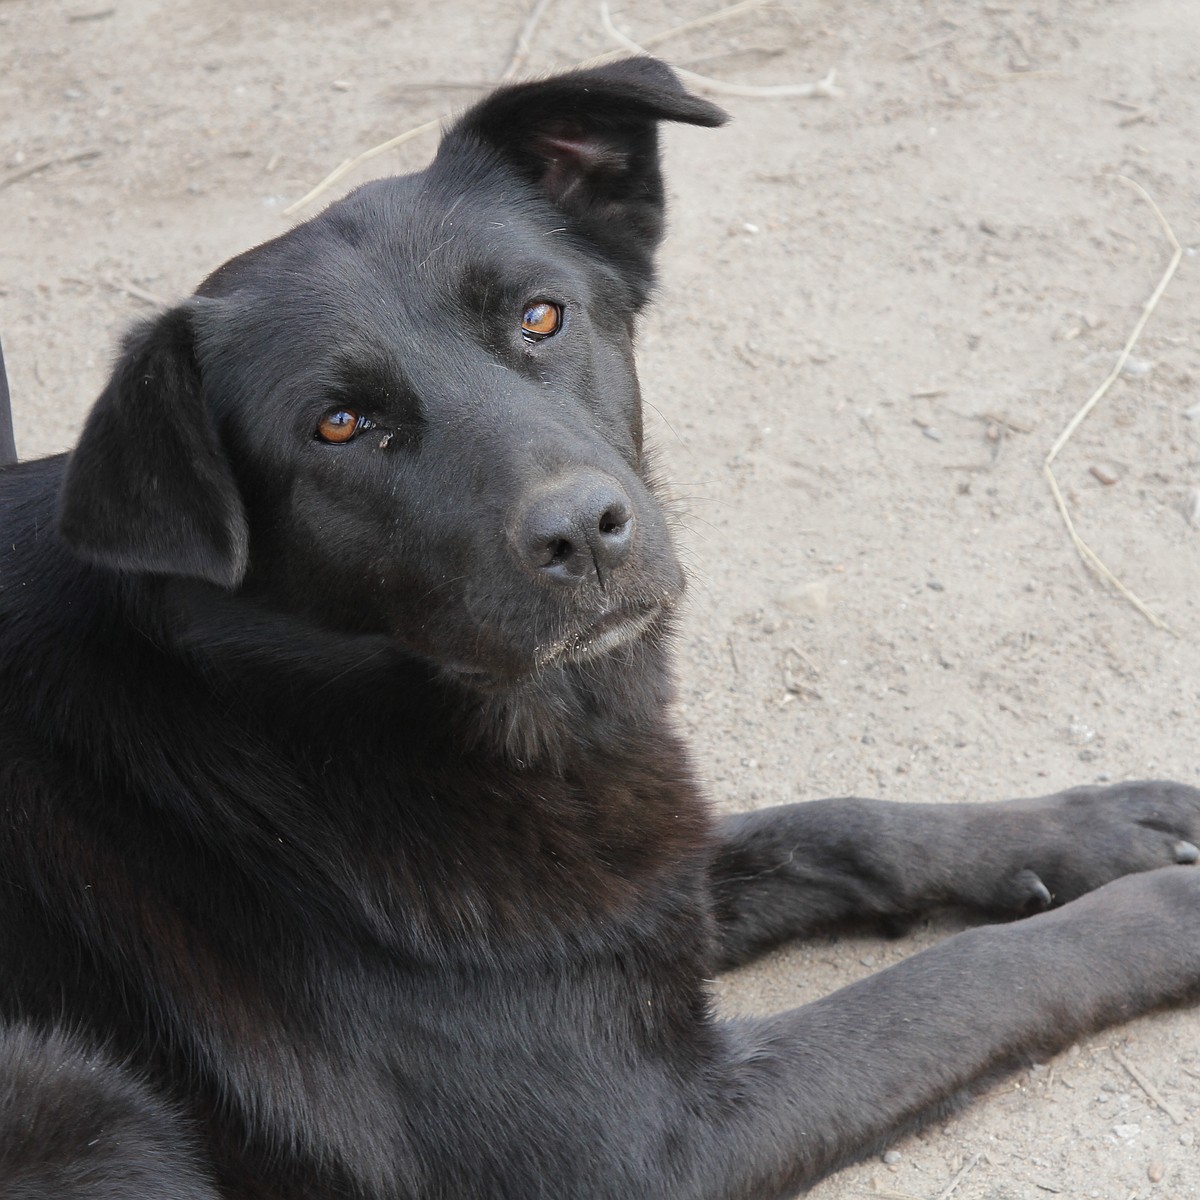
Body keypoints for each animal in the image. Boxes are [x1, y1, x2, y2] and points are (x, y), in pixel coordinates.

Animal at [2, 58, 1200, 1200]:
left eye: (541, 316)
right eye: (339, 425)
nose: (585, 531)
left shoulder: (633, 885)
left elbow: (838, 825)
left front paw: (1097, 827)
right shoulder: (644, 1145)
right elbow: (963, 979)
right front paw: (1165, 908)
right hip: (79, 1097)